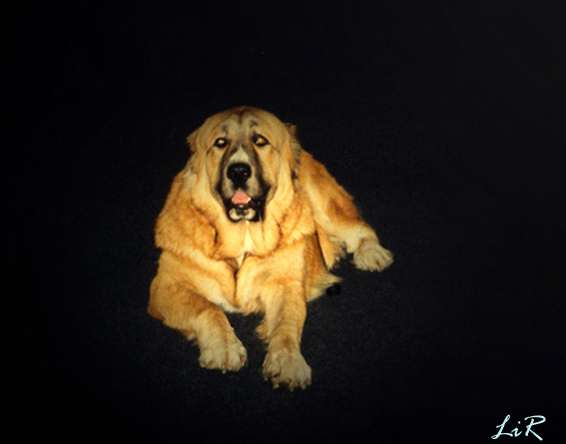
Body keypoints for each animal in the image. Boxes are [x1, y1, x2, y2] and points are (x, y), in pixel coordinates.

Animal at [149, 106, 393, 390]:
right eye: (220, 143)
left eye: (260, 141)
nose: (238, 171)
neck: (243, 237)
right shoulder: (166, 286)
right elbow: (207, 308)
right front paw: (223, 348)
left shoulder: (285, 285)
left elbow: (286, 326)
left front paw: (287, 362)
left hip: (328, 209)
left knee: (361, 229)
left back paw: (372, 254)